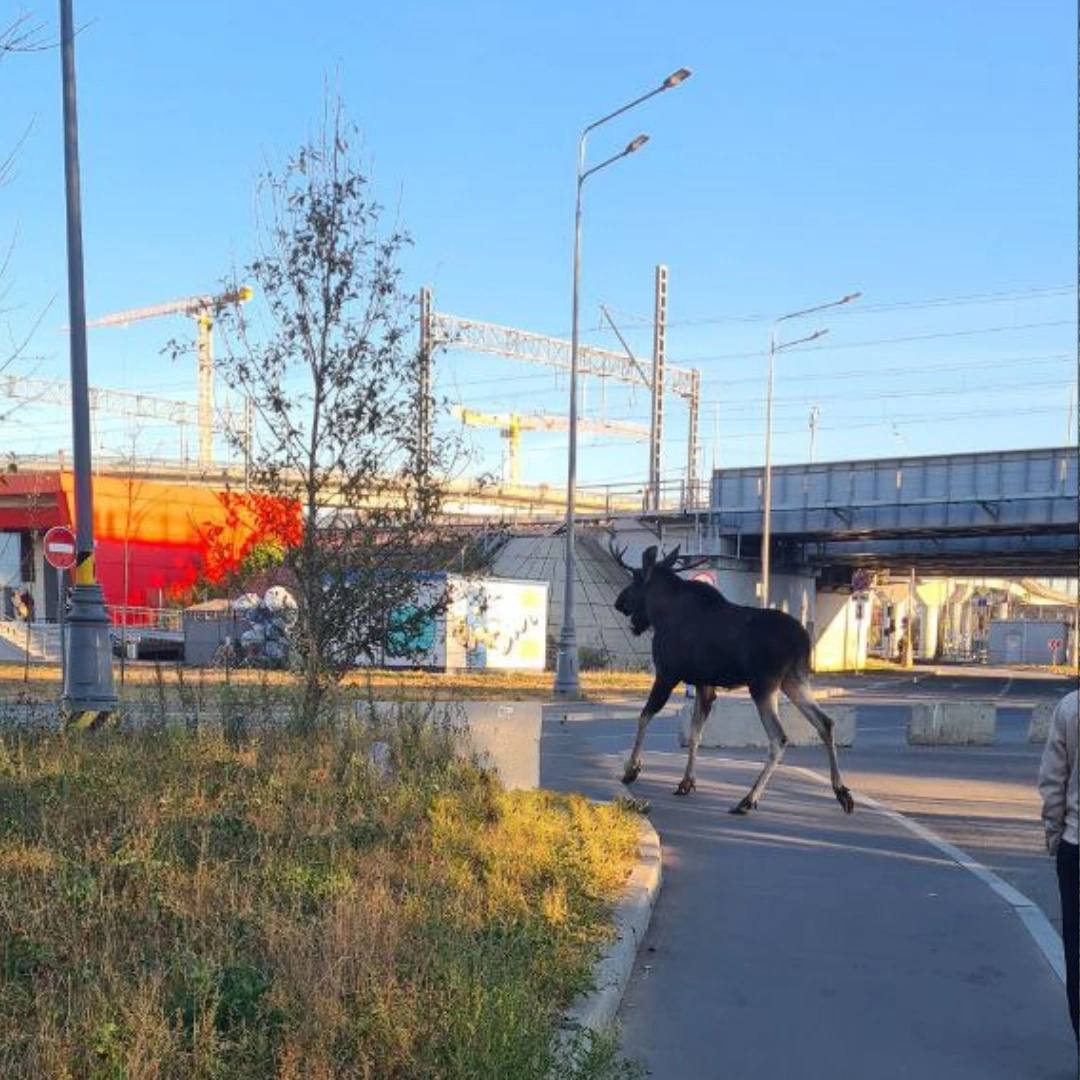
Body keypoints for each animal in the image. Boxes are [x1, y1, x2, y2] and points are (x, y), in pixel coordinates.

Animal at [617, 544, 851, 812]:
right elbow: (695, 733)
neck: (659, 613)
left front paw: (632, 769)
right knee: (825, 722)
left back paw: (748, 799)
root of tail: (803, 641)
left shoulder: (667, 674)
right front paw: (686, 782)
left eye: (635, 579)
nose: (618, 602)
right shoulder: (704, 683)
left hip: (763, 685)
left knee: (779, 737)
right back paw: (842, 792)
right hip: (794, 680)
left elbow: (644, 716)